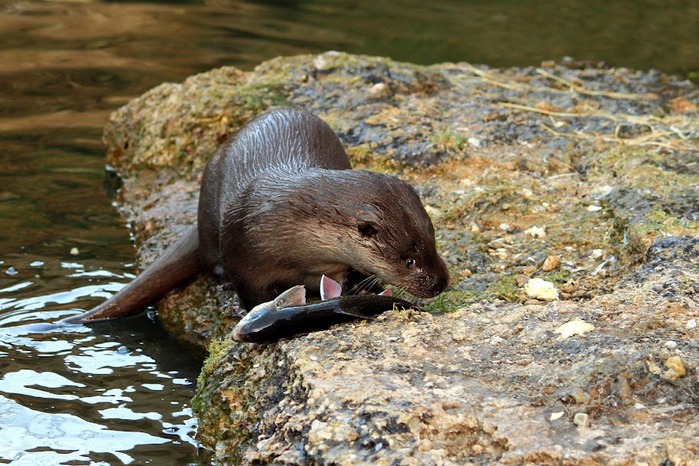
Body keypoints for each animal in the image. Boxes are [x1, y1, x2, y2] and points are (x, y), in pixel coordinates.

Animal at [64, 108, 448, 324]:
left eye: (433, 243)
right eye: (409, 260)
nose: (441, 283)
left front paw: (361, 284)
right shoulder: (244, 253)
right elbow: (250, 292)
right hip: (208, 201)